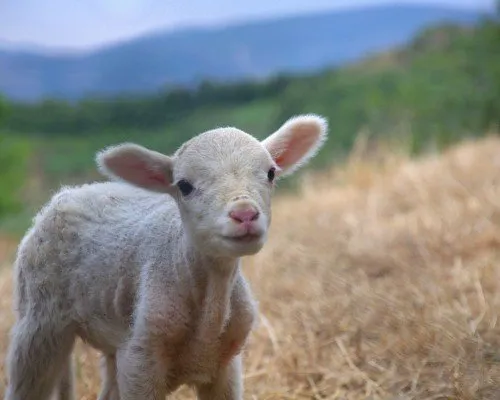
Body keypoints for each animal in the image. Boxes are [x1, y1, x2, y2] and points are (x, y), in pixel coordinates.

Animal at [2, 113, 328, 400]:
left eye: (271, 173)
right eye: (184, 185)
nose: (244, 214)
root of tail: (65, 195)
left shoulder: (225, 366)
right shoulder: (140, 360)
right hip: (39, 321)